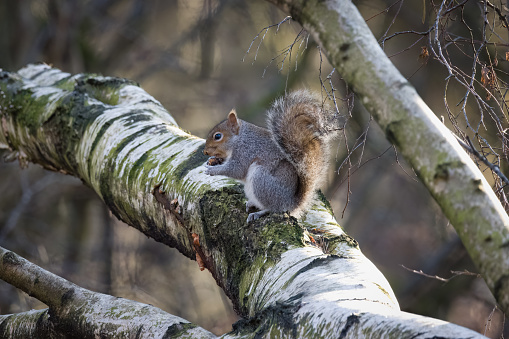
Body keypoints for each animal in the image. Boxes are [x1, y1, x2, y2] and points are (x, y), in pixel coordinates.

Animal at [203, 90, 342, 223]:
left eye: (217, 136)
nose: (205, 152)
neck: (239, 138)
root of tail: (290, 203)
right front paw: (212, 161)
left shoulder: (245, 151)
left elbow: (236, 170)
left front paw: (212, 170)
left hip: (261, 180)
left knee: (273, 208)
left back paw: (258, 213)